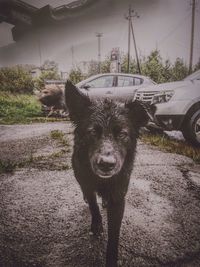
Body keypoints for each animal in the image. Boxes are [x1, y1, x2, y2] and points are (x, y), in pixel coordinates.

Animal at [65, 80, 154, 266]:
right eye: (92, 132)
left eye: (122, 134)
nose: (106, 164)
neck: (102, 181)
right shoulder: (86, 183)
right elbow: (93, 205)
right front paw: (97, 225)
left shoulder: (118, 195)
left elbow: (114, 234)